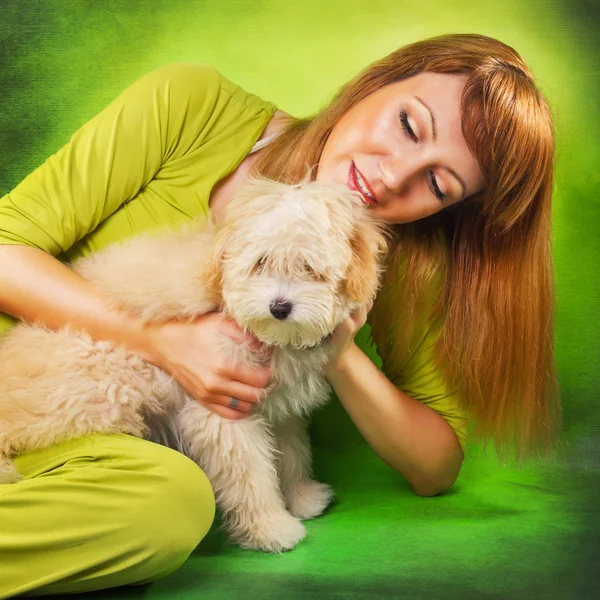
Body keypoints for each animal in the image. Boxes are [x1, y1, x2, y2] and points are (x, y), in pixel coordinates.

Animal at [0, 178, 386, 552]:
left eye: (309, 268)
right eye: (260, 263)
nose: (279, 307)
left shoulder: (281, 407)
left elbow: (291, 453)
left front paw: (302, 497)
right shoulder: (223, 409)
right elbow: (251, 475)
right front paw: (270, 529)